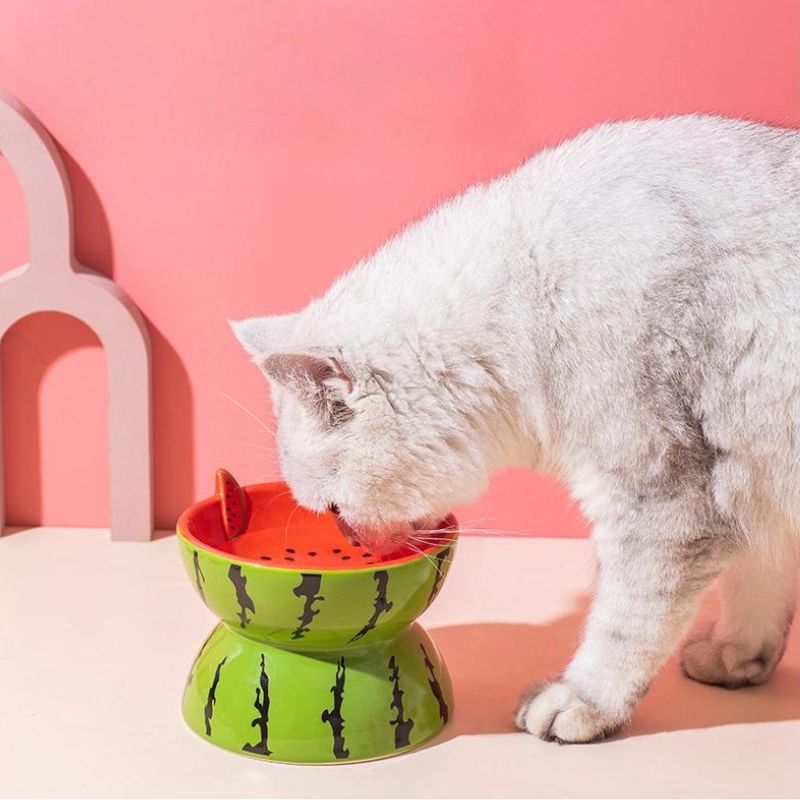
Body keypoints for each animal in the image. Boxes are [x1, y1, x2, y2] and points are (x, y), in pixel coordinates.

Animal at [231, 115, 800, 740]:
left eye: (334, 509)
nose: (356, 547)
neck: (532, 296)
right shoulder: (752, 477)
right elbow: (759, 577)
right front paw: (739, 656)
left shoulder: (663, 496)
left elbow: (624, 623)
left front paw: (584, 701)